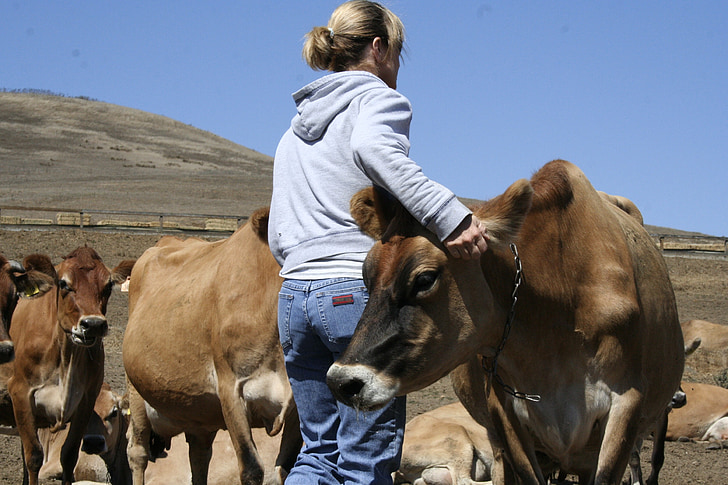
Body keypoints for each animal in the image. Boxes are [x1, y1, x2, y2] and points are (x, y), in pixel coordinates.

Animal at [3, 248, 134, 484]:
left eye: (108, 284)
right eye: (63, 283)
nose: (93, 324)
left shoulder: (85, 401)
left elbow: (69, 455)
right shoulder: (20, 394)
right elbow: (33, 457)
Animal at [123, 207, 300, 484]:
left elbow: (287, 468)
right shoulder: (231, 389)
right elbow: (252, 468)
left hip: (199, 416)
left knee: (199, 457)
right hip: (136, 392)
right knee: (138, 454)